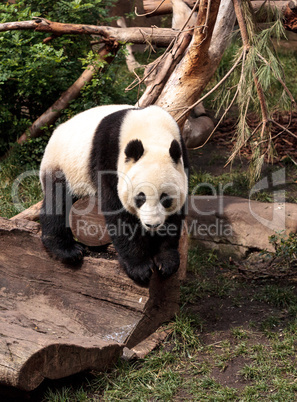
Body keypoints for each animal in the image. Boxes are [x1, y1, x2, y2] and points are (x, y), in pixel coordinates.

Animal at [39, 105, 188, 284]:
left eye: (165, 198)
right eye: (140, 197)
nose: (152, 225)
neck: (153, 133)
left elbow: (174, 217)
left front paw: (166, 261)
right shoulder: (108, 157)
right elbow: (117, 212)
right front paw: (139, 268)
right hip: (63, 164)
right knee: (57, 201)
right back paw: (67, 250)